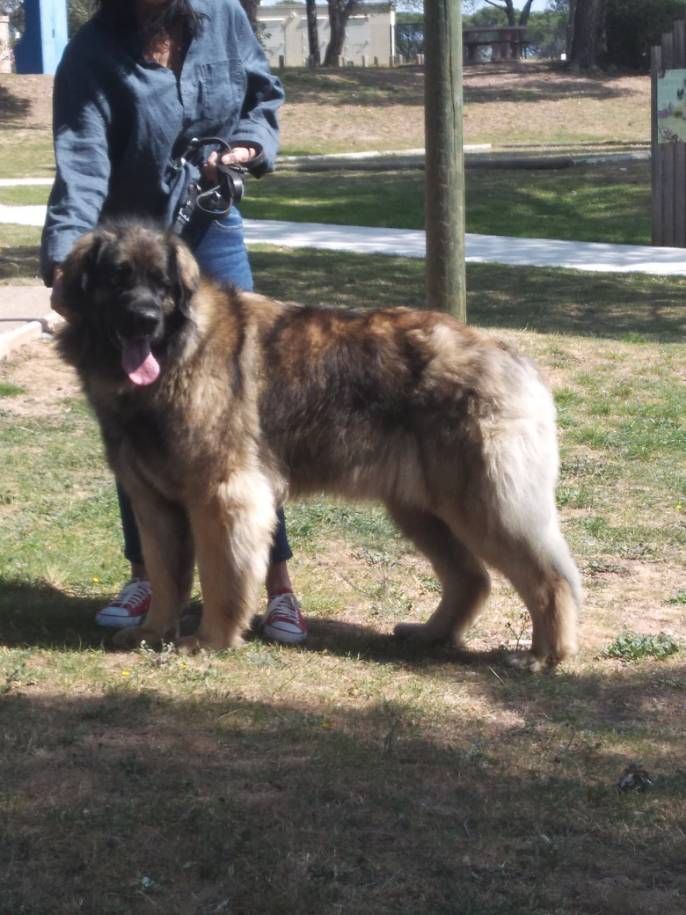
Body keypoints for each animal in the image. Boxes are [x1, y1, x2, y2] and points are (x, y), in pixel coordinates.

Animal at [59, 220, 584, 664]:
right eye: (118, 278)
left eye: (163, 285)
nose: (144, 319)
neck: (178, 353)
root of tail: (510, 356)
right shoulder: (154, 503)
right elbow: (165, 576)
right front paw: (152, 633)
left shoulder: (222, 497)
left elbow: (220, 577)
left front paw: (209, 641)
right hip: (423, 508)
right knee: (471, 578)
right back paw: (431, 633)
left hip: (484, 505)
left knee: (549, 578)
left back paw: (544, 655)